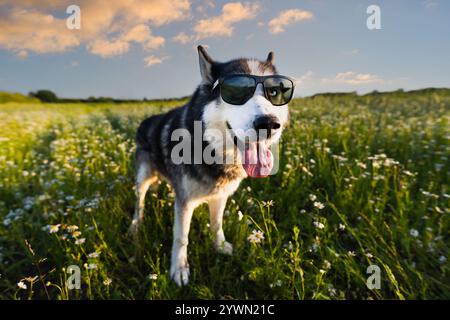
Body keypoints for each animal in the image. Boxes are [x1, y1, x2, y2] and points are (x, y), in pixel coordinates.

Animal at [132, 46, 294, 286]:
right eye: (235, 92)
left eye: (274, 92)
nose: (269, 124)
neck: (209, 148)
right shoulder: (185, 202)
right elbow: (181, 237)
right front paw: (179, 269)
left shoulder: (220, 196)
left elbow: (217, 225)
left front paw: (219, 247)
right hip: (142, 176)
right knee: (139, 201)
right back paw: (136, 224)